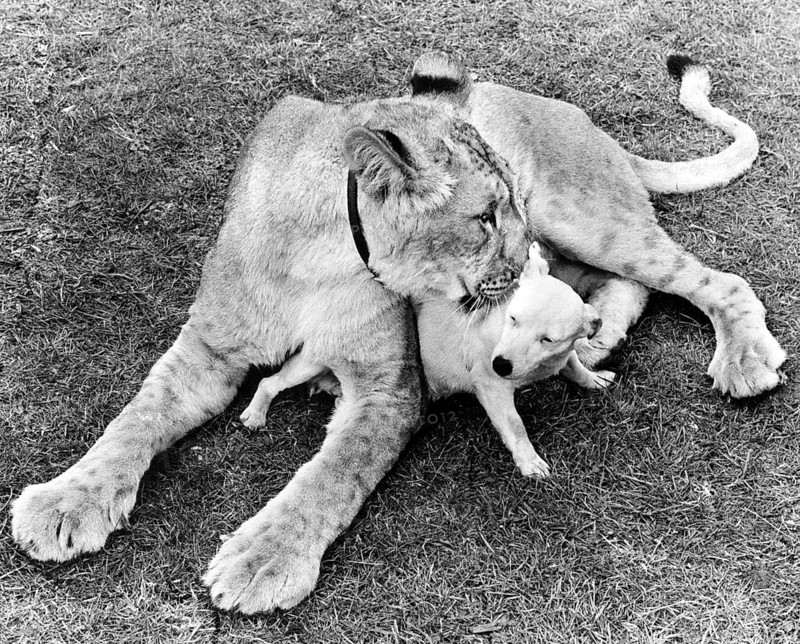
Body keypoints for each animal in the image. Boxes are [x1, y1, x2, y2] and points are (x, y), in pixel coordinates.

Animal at [11, 53, 785, 614]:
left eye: (509, 206)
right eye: (485, 218)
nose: (524, 255)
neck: (320, 252)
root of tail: (594, 126)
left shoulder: (390, 389)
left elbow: (330, 476)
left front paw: (264, 560)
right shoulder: (209, 346)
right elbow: (134, 419)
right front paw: (65, 502)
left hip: (586, 216)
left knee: (709, 280)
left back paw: (741, 359)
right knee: (630, 286)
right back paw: (593, 340)